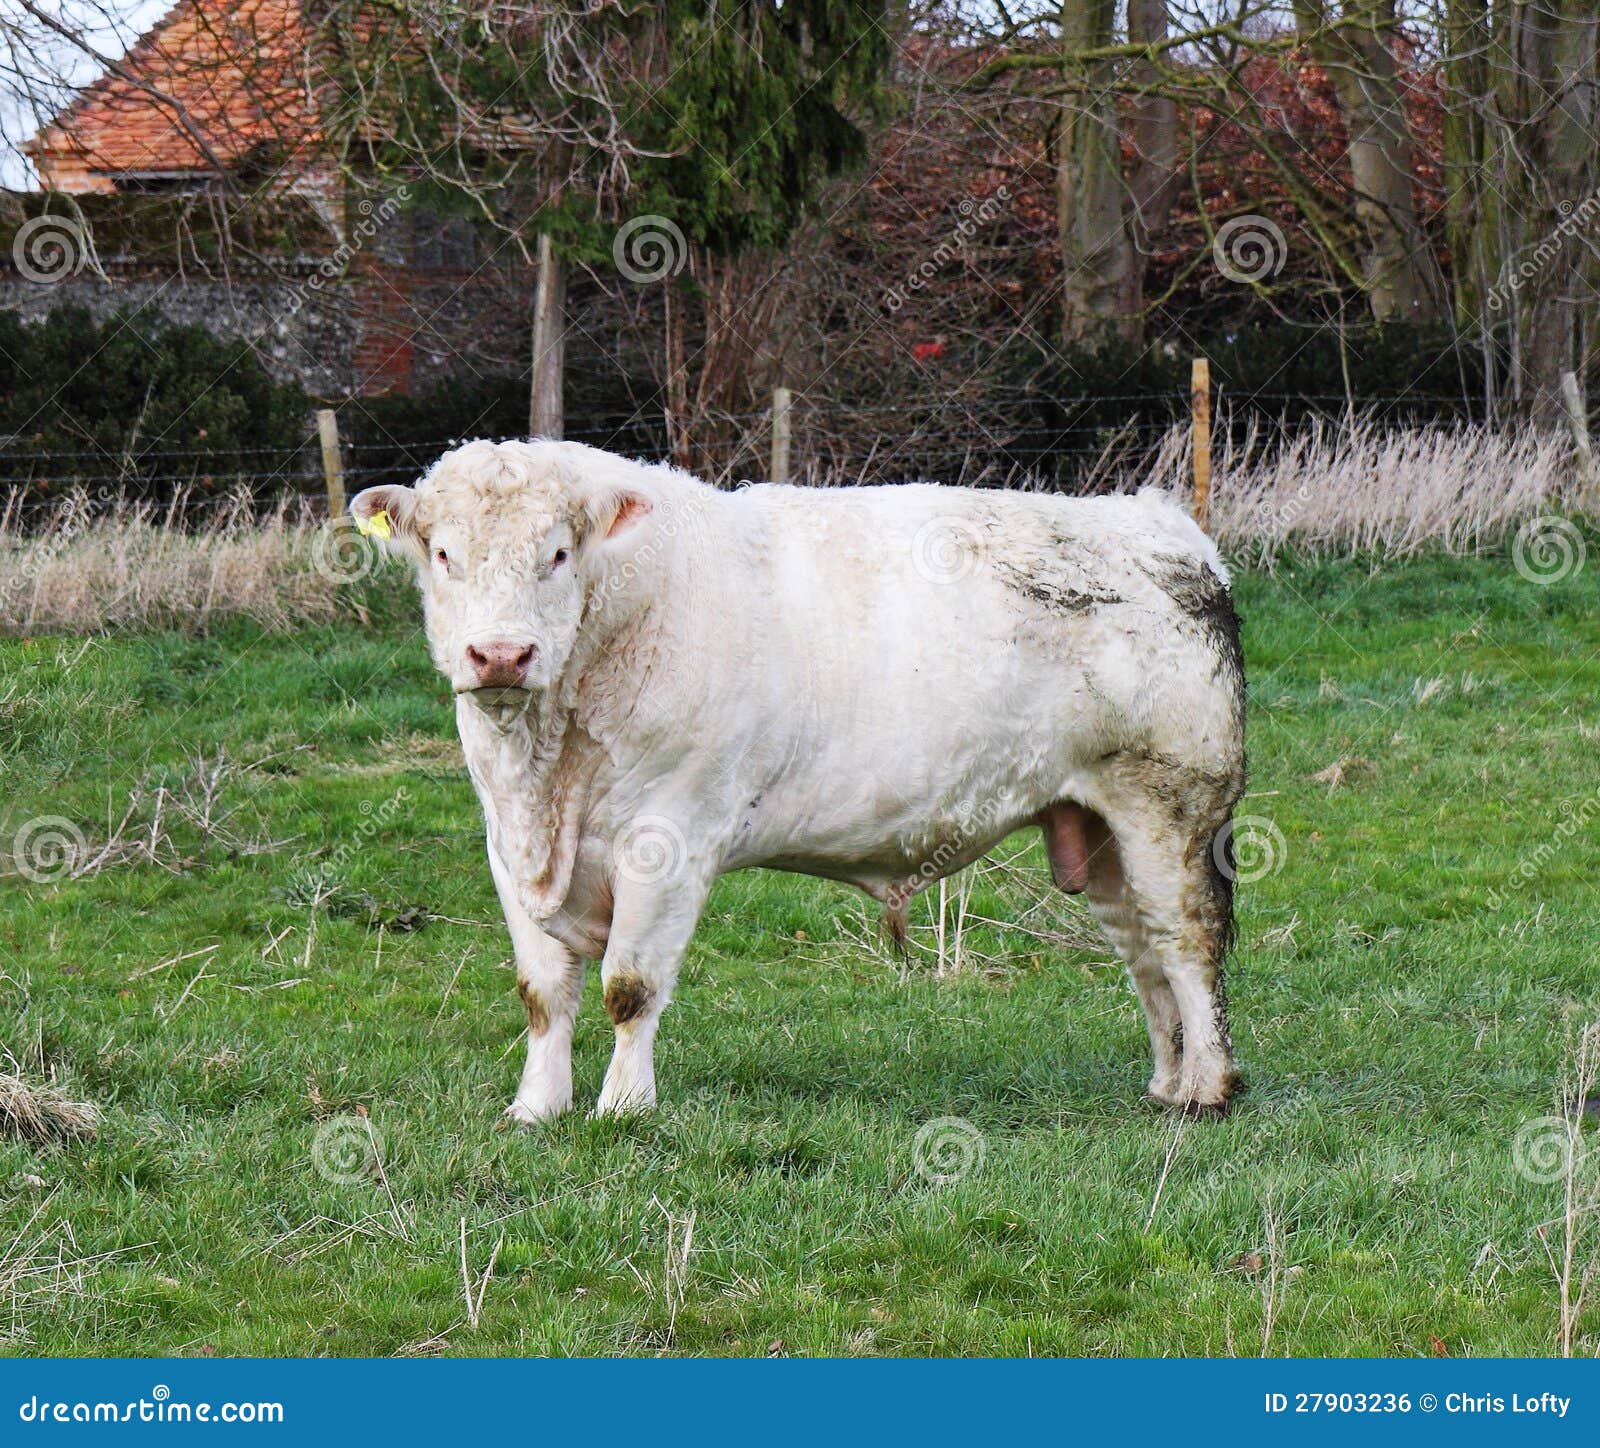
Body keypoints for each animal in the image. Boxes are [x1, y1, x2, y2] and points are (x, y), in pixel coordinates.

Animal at [356, 441, 1254, 1120]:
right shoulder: (508, 844)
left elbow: (629, 988)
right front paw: (536, 1108)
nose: (501, 654)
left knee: (1187, 940)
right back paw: (1166, 1082)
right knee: (1142, 950)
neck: (548, 776)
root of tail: (1161, 525)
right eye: (444, 553)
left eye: (558, 553)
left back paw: (1206, 1088)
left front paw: (623, 1109)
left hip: (1170, 807)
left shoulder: (669, 836)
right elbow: (544, 995)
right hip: (1098, 825)